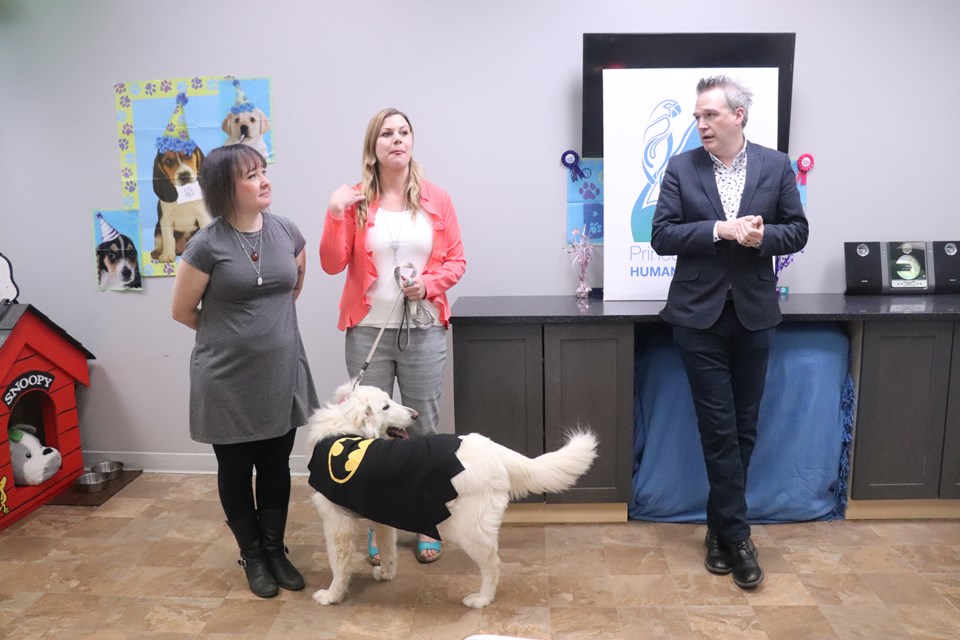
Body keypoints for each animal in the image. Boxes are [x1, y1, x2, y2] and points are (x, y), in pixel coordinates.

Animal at [151, 92, 211, 262]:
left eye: (189, 154)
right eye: (168, 161)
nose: (184, 175)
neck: (185, 192)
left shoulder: (203, 216)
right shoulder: (165, 220)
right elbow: (169, 238)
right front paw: (167, 256)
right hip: (157, 228)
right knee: (160, 240)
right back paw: (158, 252)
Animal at [306, 382, 600, 608]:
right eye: (386, 406)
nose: (415, 414)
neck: (345, 429)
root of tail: (494, 449)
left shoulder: (336, 524)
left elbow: (338, 565)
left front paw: (330, 596)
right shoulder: (382, 516)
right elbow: (388, 550)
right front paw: (386, 574)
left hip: (471, 530)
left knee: (493, 566)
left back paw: (481, 600)